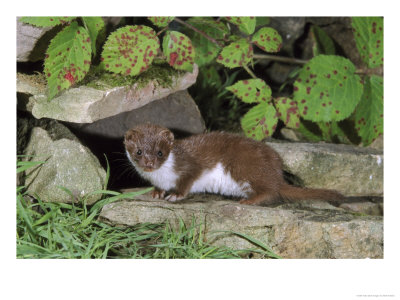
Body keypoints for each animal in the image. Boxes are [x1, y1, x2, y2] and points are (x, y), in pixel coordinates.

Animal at [124, 123, 344, 205]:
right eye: (139, 151)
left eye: (160, 152)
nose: (149, 163)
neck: (162, 176)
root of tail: (276, 174)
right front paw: (157, 192)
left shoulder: (191, 166)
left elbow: (188, 180)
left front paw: (175, 195)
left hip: (243, 166)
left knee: (270, 192)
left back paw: (249, 200)